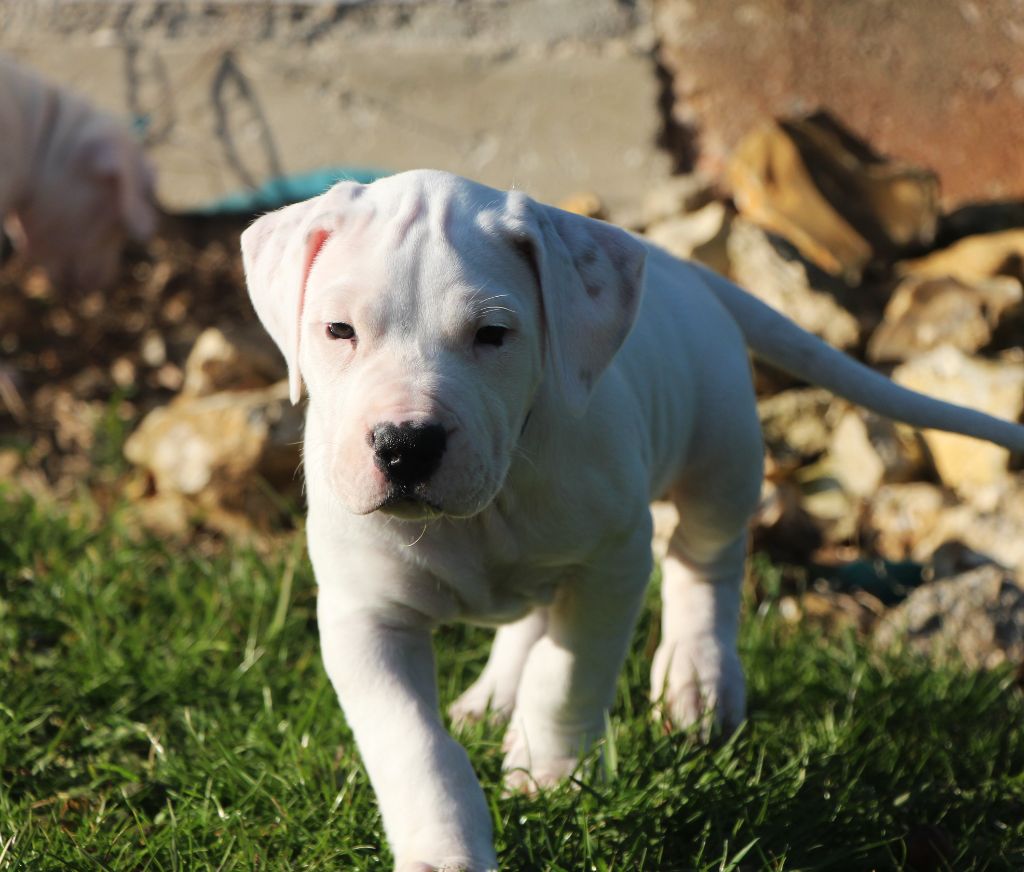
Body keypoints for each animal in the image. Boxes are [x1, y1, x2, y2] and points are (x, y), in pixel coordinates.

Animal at [239, 169, 1024, 872]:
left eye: (493, 334)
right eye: (338, 330)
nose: (405, 444)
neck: (491, 503)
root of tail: (684, 271)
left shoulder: (612, 564)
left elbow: (569, 675)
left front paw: (550, 772)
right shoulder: (364, 616)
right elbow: (412, 743)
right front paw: (446, 850)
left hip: (721, 456)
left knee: (705, 564)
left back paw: (697, 679)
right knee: (533, 615)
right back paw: (493, 697)